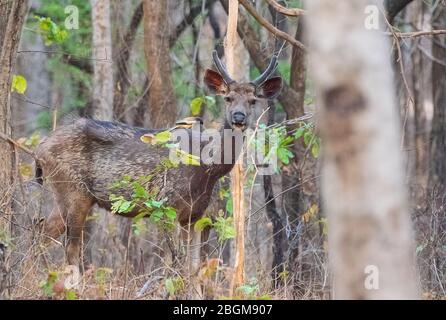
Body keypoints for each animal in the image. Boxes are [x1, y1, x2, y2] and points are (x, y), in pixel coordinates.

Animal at [38, 51, 282, 266]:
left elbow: (194, 267)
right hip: (72, 190)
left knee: (42, 231)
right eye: (228, 98)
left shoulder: (195, 215)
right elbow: (173, 263)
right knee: (68, 247)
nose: (238, 117)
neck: (206, 169)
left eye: (253, 100)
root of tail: (40, 148)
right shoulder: (166, 205)